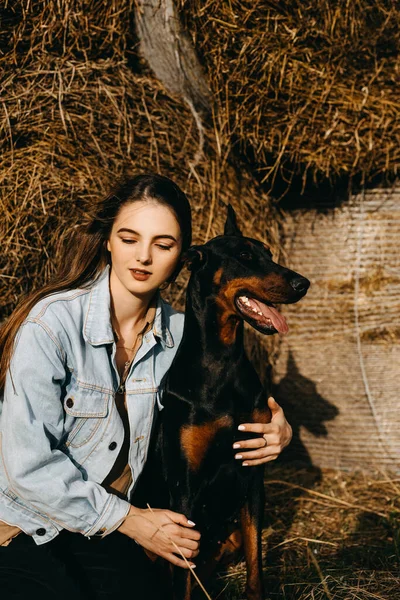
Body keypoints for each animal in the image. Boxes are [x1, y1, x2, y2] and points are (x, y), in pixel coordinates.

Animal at [133, 207, 310, 600]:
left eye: (268, 253)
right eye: (244, 256)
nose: (303, 283)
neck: (223, 361)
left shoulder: (253, 473)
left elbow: (256, 564)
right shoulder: (184, 488)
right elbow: (182, 580)